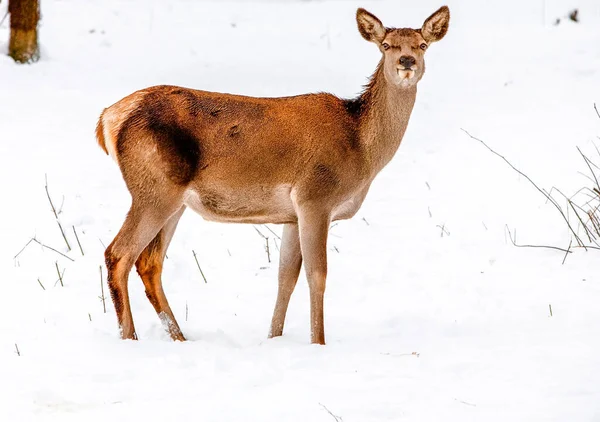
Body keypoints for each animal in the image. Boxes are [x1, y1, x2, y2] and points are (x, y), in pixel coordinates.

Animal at [95, 6, 450, 344]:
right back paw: (130, 337)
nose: (406, 61)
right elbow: (317, 275)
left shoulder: (291, 214)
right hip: (153, 189)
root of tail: (107, 119)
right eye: (386, 45)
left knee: (149, 262)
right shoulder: (315, 196)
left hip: (174, 200)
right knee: (119, 254)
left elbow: (286, 277)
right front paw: (318, 342)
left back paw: (180, 338)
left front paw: (274, 337)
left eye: (422, 45)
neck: (361, 148)